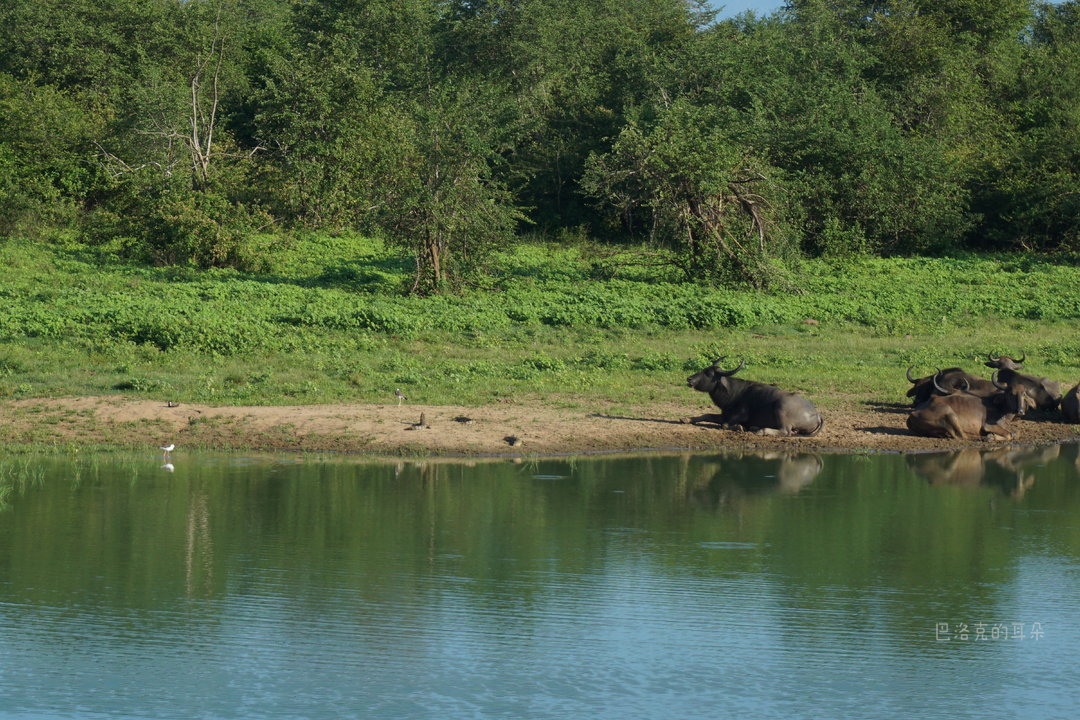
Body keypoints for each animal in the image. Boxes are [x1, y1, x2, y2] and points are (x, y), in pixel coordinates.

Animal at [686, 358, 820, 436]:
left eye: (708, 373)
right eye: (704, 369)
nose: (689, 379)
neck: (734, 394)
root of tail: (817, 414)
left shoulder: (740, 415)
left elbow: (724, 425)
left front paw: (739, 427)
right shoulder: (725, 414)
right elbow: (706, 415)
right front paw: (686, 419)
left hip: (781, 408)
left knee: (785, 431)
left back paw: (760, 430)